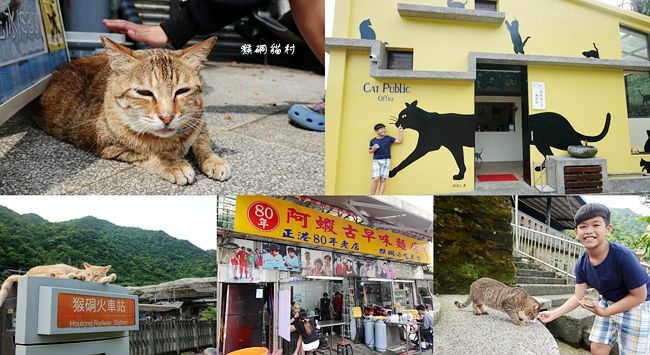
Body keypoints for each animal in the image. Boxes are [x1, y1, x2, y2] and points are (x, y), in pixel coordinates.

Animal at [33, 36, 230, 186]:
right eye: (144, 93)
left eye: (182, 91)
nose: (167, 117)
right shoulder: (110, 145)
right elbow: (148, 151)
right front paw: (173, 163)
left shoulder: (199, 121)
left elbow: (202, 142)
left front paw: (213, 159)